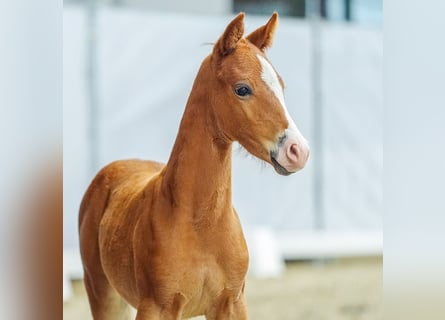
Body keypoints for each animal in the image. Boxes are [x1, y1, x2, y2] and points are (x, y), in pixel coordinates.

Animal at [79, 13, 308, 320]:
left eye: (281, 86)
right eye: (242, 89)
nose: (298, 151)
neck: (202, 224)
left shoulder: (232, 303)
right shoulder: (156, 307)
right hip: (102, 294)